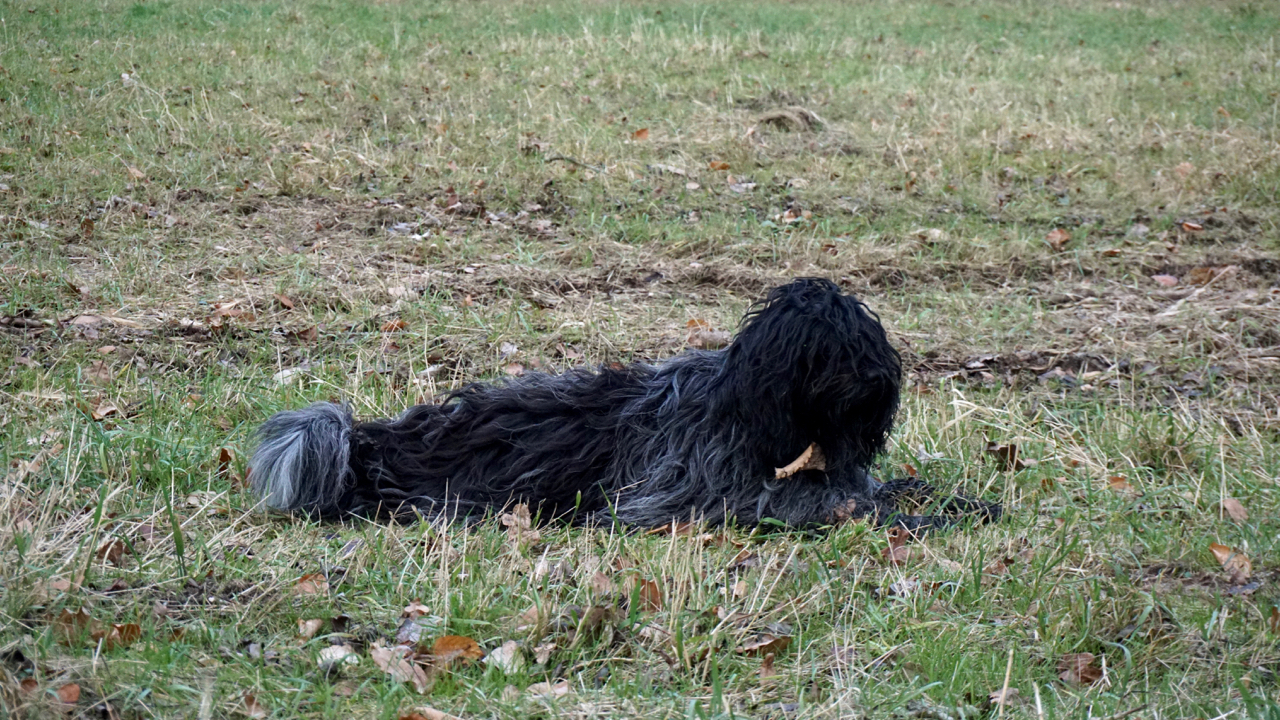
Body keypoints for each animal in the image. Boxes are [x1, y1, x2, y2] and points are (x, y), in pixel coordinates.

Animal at [252, 278, 998, 530]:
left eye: (865, 340)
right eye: (826, 350)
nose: (878, 382)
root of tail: (371, 441)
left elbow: (880, 488)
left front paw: (949, 500)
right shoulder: (694, 496)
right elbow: (832, 502)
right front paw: (921, 519)